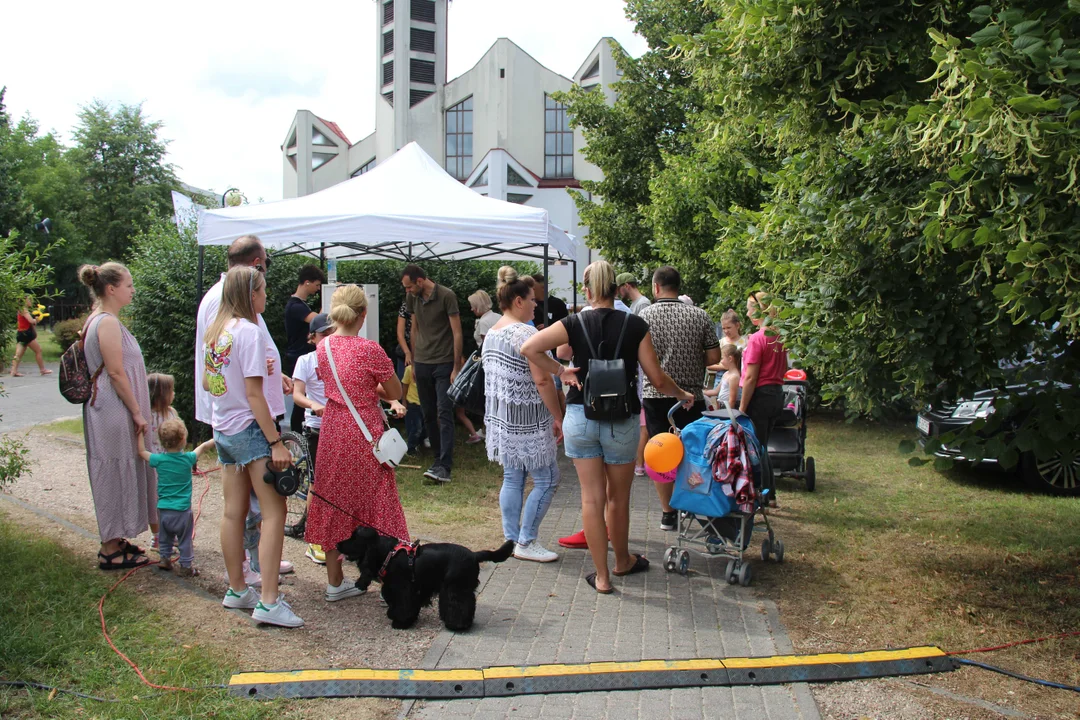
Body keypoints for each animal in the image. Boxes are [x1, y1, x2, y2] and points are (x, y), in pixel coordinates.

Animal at [341, 528, 514, 630]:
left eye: (354, 539)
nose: (338, 544)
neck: (388, 554)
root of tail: (474, 554)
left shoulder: (402, 588)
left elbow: (403, 606)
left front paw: (400, 622)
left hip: (455, 587)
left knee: (460, 605)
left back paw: (457, 625)